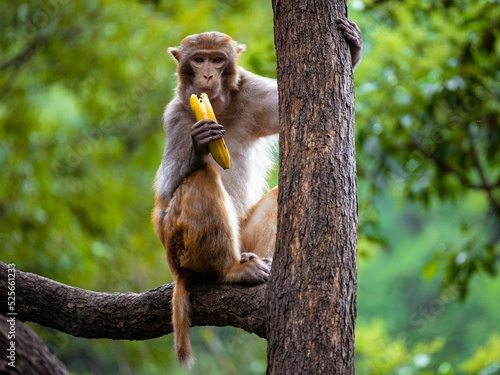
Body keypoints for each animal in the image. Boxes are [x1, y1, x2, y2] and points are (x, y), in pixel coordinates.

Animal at [150, 18, 362, 370]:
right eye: (198, 59)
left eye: (217, 60)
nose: (207, 76)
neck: (219, 106)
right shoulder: (177, 114)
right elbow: (166, 190)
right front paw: (199, 143)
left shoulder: (252, 92)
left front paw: (355, 48)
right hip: (178, 245)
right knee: (199, 179)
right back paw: (229, 270)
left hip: (243, 237)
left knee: (275, 200)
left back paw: (258, 263)